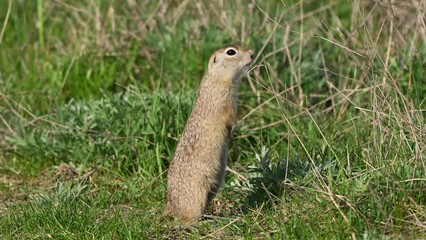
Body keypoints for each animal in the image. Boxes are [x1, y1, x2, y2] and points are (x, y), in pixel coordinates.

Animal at [164, 44, 255, 223]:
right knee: (187, 218)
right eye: (231, 52)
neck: (217, 78)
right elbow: (229, 119)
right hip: (197, 193)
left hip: (214, 185)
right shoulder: (225, 105)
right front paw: (232, 132)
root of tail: (170, 206)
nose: (252, 54)